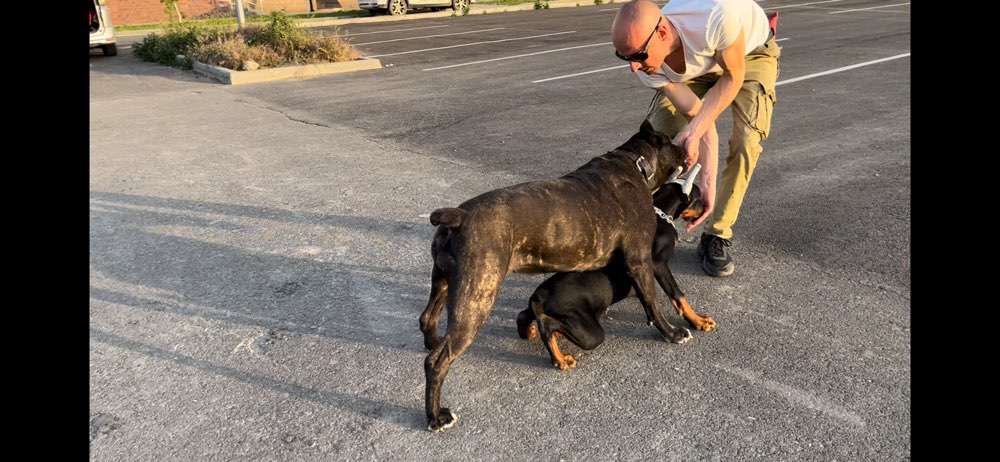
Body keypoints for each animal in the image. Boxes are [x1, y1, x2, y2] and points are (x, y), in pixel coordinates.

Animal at [512, 167, 716, 372]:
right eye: (699, 197)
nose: (708, 208)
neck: (661, 214)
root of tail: (539, 296)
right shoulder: (658, 264)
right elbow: (677, 295)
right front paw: (696, 323)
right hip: (589, 331)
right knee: (549, 328)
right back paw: (560, 358)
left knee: (524, 316)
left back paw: (531, 331)